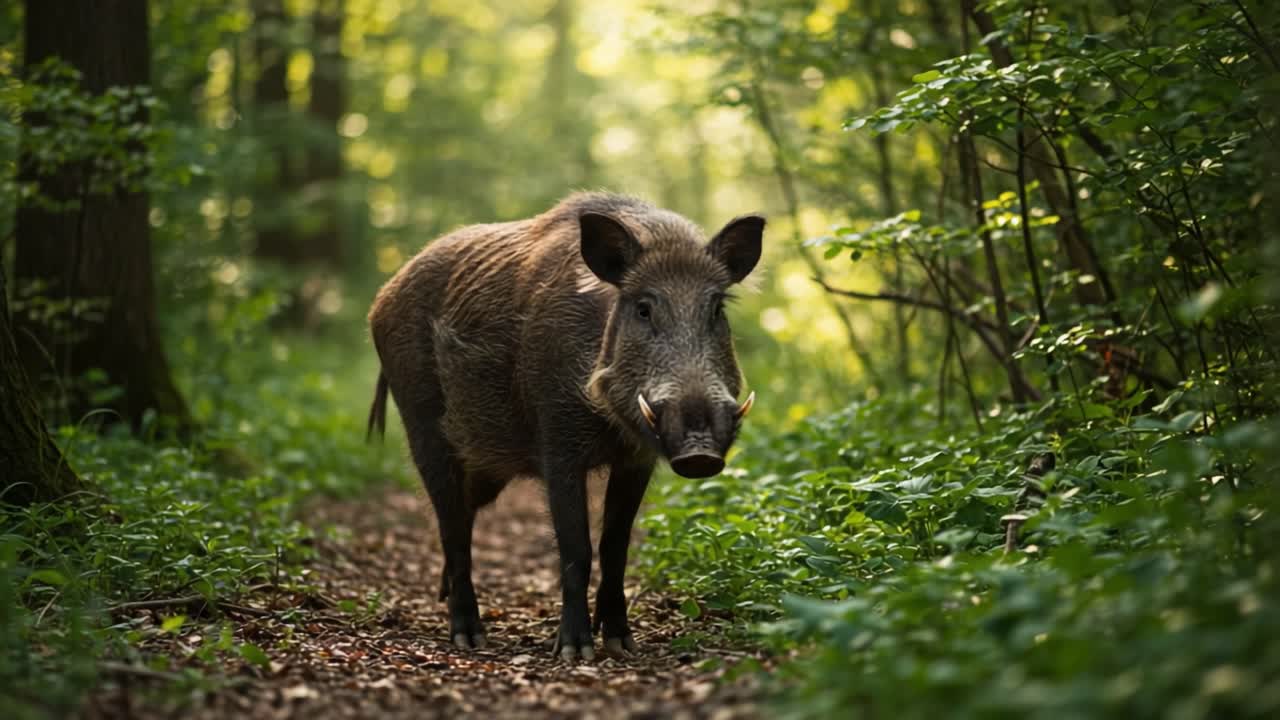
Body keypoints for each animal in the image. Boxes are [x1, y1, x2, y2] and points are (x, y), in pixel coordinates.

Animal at [366, 192, 763, 660]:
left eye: (716, 309)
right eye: (643, 308)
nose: (700, 452)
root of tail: (381, 300)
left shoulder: (637, 459)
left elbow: (615, 546)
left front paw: (622, 644)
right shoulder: (557, 444)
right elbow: (577, 548)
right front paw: (575, 652)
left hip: (485, 468)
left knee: (463, 515)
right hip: (423, 426)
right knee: (451, 524)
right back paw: (469, 637)